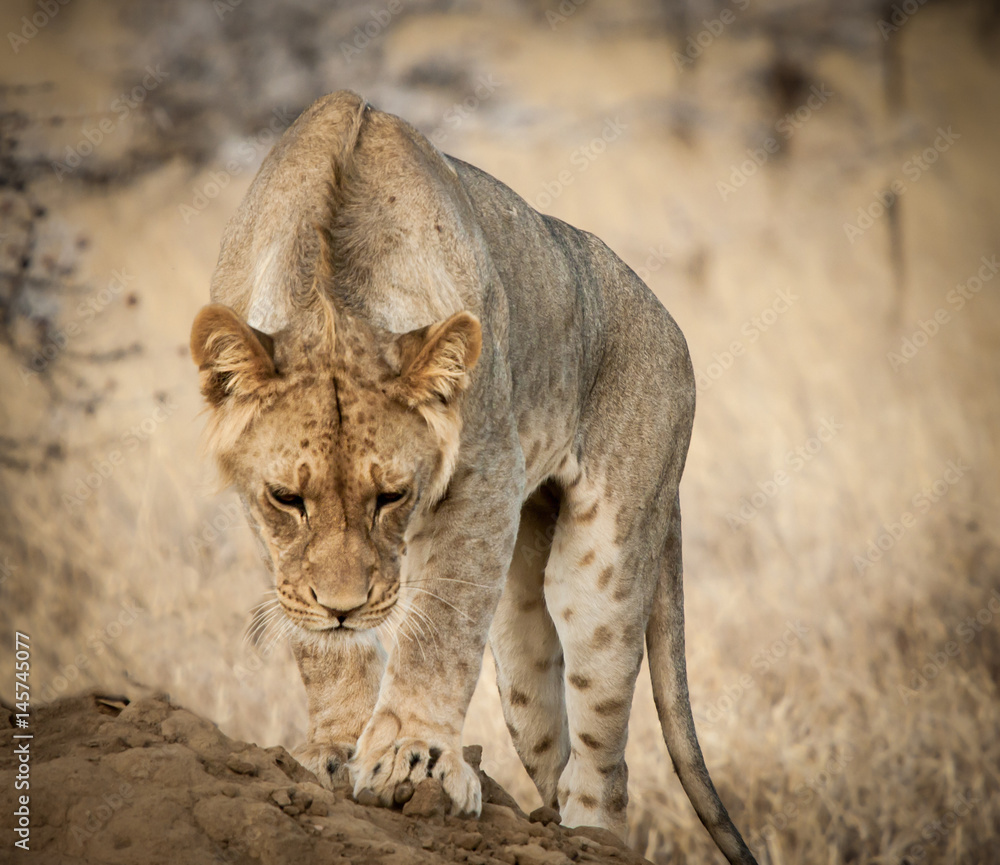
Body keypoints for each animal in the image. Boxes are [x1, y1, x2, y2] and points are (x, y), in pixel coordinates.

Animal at [190, 91, 757, 865]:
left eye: (391, 497)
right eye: (287, 498)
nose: (344, 607)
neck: (333, 292)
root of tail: (671, 324)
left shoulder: (485, 470)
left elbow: (440, 626)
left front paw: (412, 760)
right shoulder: (269, 530)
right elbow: (322, 647)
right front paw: (336, 748)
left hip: (601, 568)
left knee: (603, 766)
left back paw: (586, 833)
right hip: (519, 639)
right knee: (552, 751)